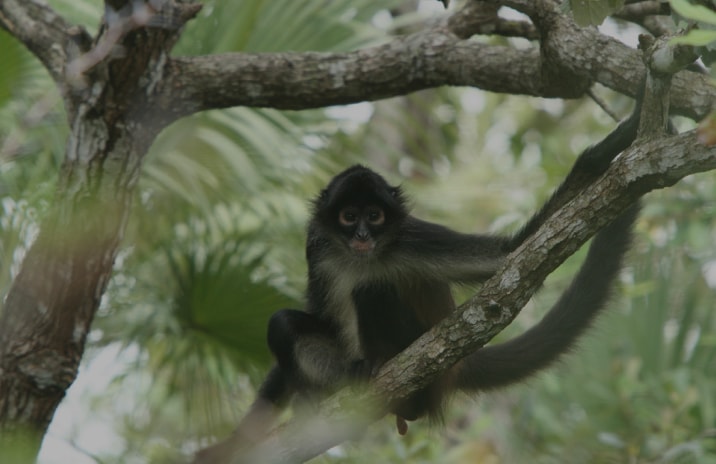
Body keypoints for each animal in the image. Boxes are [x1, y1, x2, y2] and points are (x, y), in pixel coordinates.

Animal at [196, 100, 644, 460]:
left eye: (375, 216)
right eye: (349, 216)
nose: (362, 235)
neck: (366, 255)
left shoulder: (412, 238)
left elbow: (508, 256)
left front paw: (603, 153)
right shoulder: (317, 245)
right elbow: (313, 315)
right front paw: (235, 443)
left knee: (371, 289)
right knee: (286, 322)